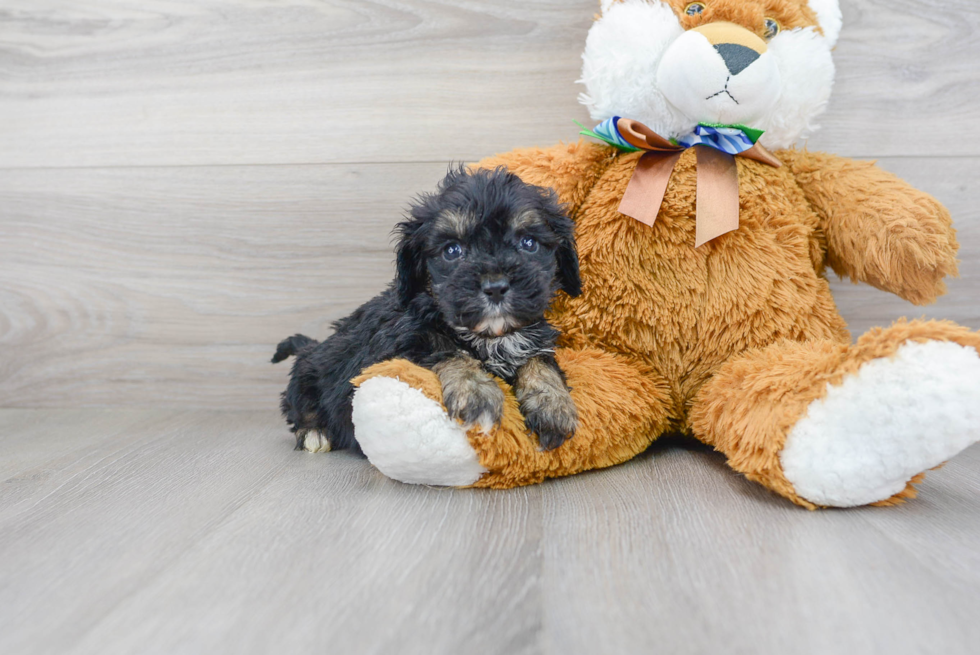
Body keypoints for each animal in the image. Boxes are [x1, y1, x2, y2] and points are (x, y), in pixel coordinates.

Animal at [272, 165, 580, 456]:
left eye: (528, 243)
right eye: (452, 250)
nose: (495, 287)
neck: (490, 336)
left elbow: (540, 361)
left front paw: (552, 404)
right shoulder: (398, 345)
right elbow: (446, 349)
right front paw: (475, 391)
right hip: (309, 374)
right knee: (299, 407)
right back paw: (314, 433)